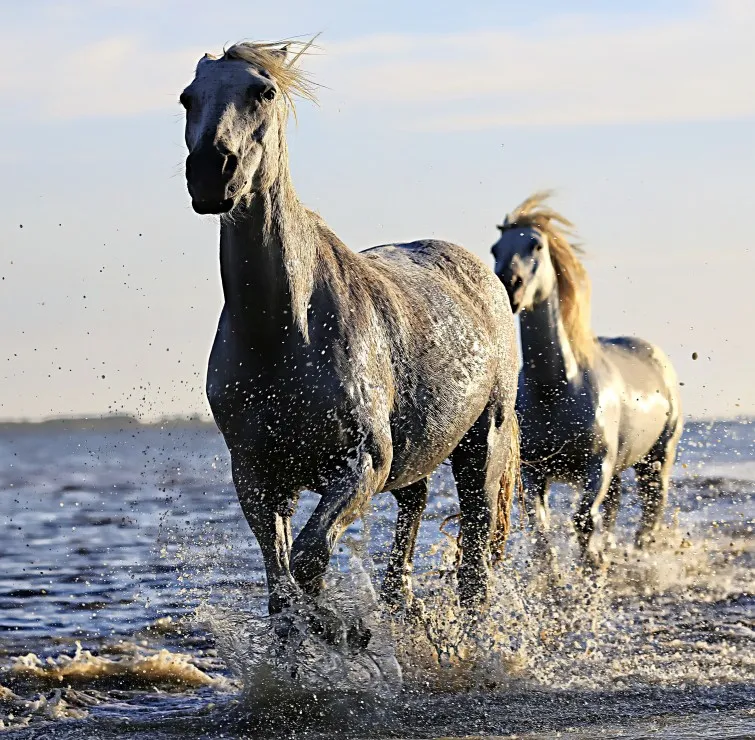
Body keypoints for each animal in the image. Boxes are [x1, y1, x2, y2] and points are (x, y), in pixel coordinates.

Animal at [179, 40, 519, 626]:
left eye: (263, 92)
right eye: (187, 97)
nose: (210, 171)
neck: (284, 333)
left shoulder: (362, 463)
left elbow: (310, 560)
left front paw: (343, 633)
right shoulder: (258, 476)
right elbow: (282, 587)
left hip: (482, 448)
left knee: (474, 569)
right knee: (411, 524)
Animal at [490, 192, 682, 567]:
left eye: (536, 245)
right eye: (495, 249)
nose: (509, 285)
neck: (556, 389)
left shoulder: (597, 467)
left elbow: (583, 522)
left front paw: (591, 572)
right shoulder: (535, 472)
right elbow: (541, 531)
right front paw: (556, 578)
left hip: (656, 460)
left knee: (650, 511)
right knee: (615, 508)